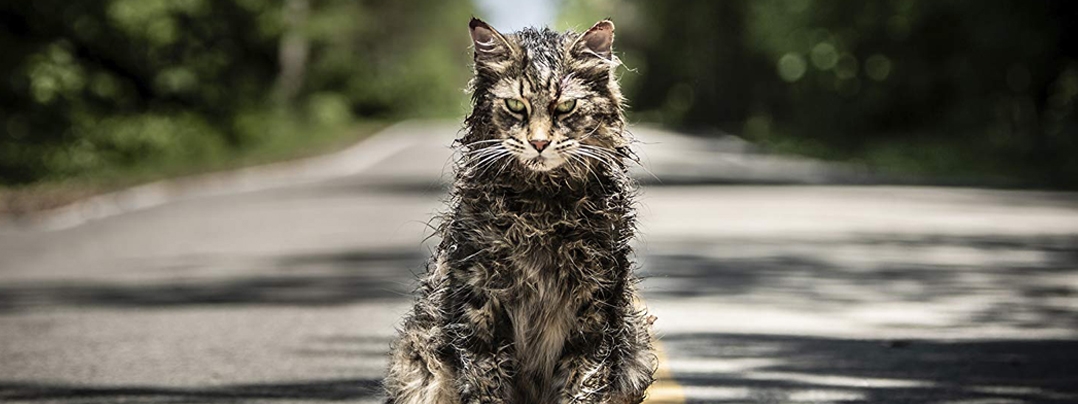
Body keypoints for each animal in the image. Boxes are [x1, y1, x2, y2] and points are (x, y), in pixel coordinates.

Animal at [388, 17, 655, 402]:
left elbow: (584, 381)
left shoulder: (595, 303)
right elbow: (485, 382)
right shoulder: (479, 302)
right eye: (516, 105)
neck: (541, 208)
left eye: (565, 107)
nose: (539, 142)